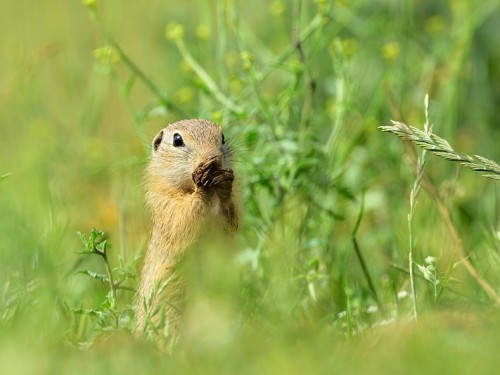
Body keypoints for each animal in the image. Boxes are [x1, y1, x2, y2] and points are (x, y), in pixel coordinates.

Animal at [136, 119, 239, 340]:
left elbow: (230, 219)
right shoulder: (166, 204)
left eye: (223, 137)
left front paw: (225, 184)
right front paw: (202, 185)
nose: (213, 159)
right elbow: (183, 217)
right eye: (177, 139)